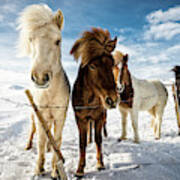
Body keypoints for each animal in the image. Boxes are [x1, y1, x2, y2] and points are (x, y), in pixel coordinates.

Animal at [16, 4, 70, 179]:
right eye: (30, 39)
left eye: (58, 41)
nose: (40, 77)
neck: (49, 94)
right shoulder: (41, 115)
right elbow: (40, 141)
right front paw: (39, 169)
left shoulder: (60, 116)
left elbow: (57, 140)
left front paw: (55, 170)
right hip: (34, 116)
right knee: (34, 131)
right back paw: (28, 145)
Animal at [70, 27, 118, 176]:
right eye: (92, 66)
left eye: (112, 64)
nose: (112, 99)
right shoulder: (80, 119)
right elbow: (82, 142)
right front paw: (80, 169)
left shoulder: (98, 117)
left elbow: (98, 139)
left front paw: (100, 163)